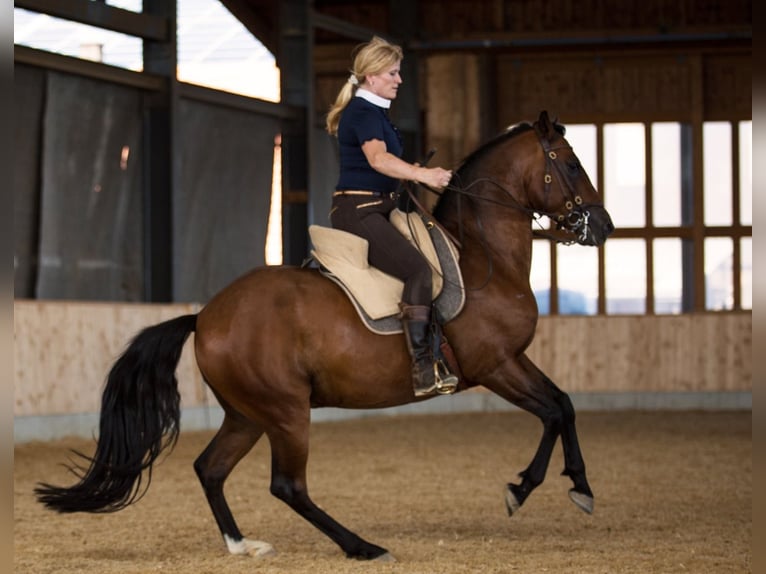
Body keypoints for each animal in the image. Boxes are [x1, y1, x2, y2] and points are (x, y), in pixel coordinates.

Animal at [36, 111, 616, 564]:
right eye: (570, 162)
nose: (603, 225)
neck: (482, 258)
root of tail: (206, 315)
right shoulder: (495, 365)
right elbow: (551, 411)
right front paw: (527, 489)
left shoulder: (512, 360)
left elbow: (563, 405)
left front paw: (578, 486)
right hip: (287, 411)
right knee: (287, 485)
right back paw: (362, 546)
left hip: (249, 413)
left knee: (211, 468)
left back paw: (242, 545)